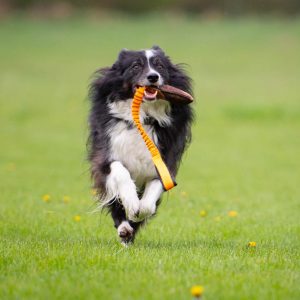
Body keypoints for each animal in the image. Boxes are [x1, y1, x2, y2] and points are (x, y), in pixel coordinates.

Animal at [88, 45, 193, 245]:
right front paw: (131, 203)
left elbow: (150, 198)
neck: (143, 117)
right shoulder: (105, 156)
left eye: (160, 66)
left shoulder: (165, 161)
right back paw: (124, 228)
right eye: (136, 66)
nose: (153, 77)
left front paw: (140, 209)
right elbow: (120, 172)